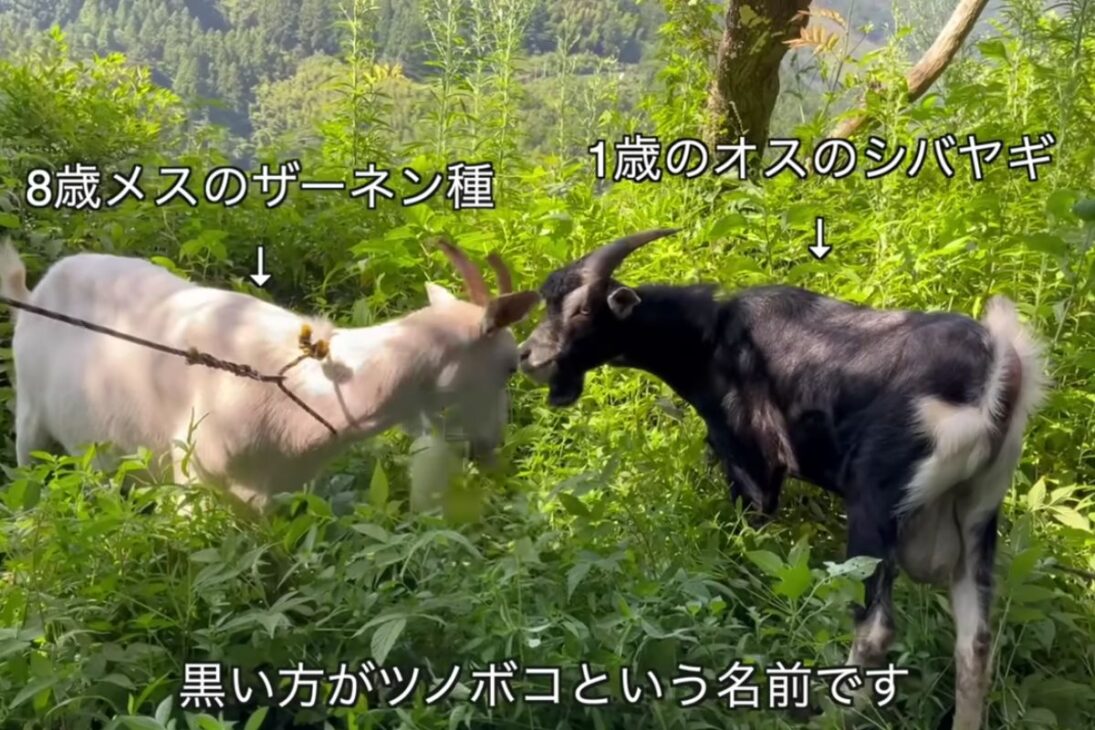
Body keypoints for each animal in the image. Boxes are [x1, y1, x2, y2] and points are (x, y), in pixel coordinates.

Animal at [0, 238, 540, 516]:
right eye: (511, 365)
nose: (493, 451)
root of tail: (30, 293)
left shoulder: (279, 493)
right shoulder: (192, 480)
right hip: (29, 418)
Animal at [517, 229, 1047, 730]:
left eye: (583, 309)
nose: (528, 356)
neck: (710, 341)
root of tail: (996, 370)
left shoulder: (752, 463)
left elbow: (747, 546)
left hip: (876, 502)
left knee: (875, 628)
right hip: (978, 511)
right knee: (976, 641)